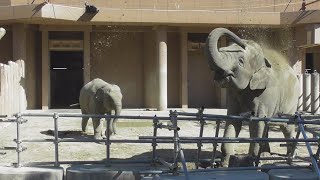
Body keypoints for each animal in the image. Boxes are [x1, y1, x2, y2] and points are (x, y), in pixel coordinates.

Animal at [205, 28, 300, 167]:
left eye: (241, 61)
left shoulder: (266, 93)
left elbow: (257, 122)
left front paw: (253, 163)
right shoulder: (233, 94)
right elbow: (234, 120)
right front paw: (223, 165)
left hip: (292, 101)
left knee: (286, 126)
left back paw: (290, 156)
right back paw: (266, 154)